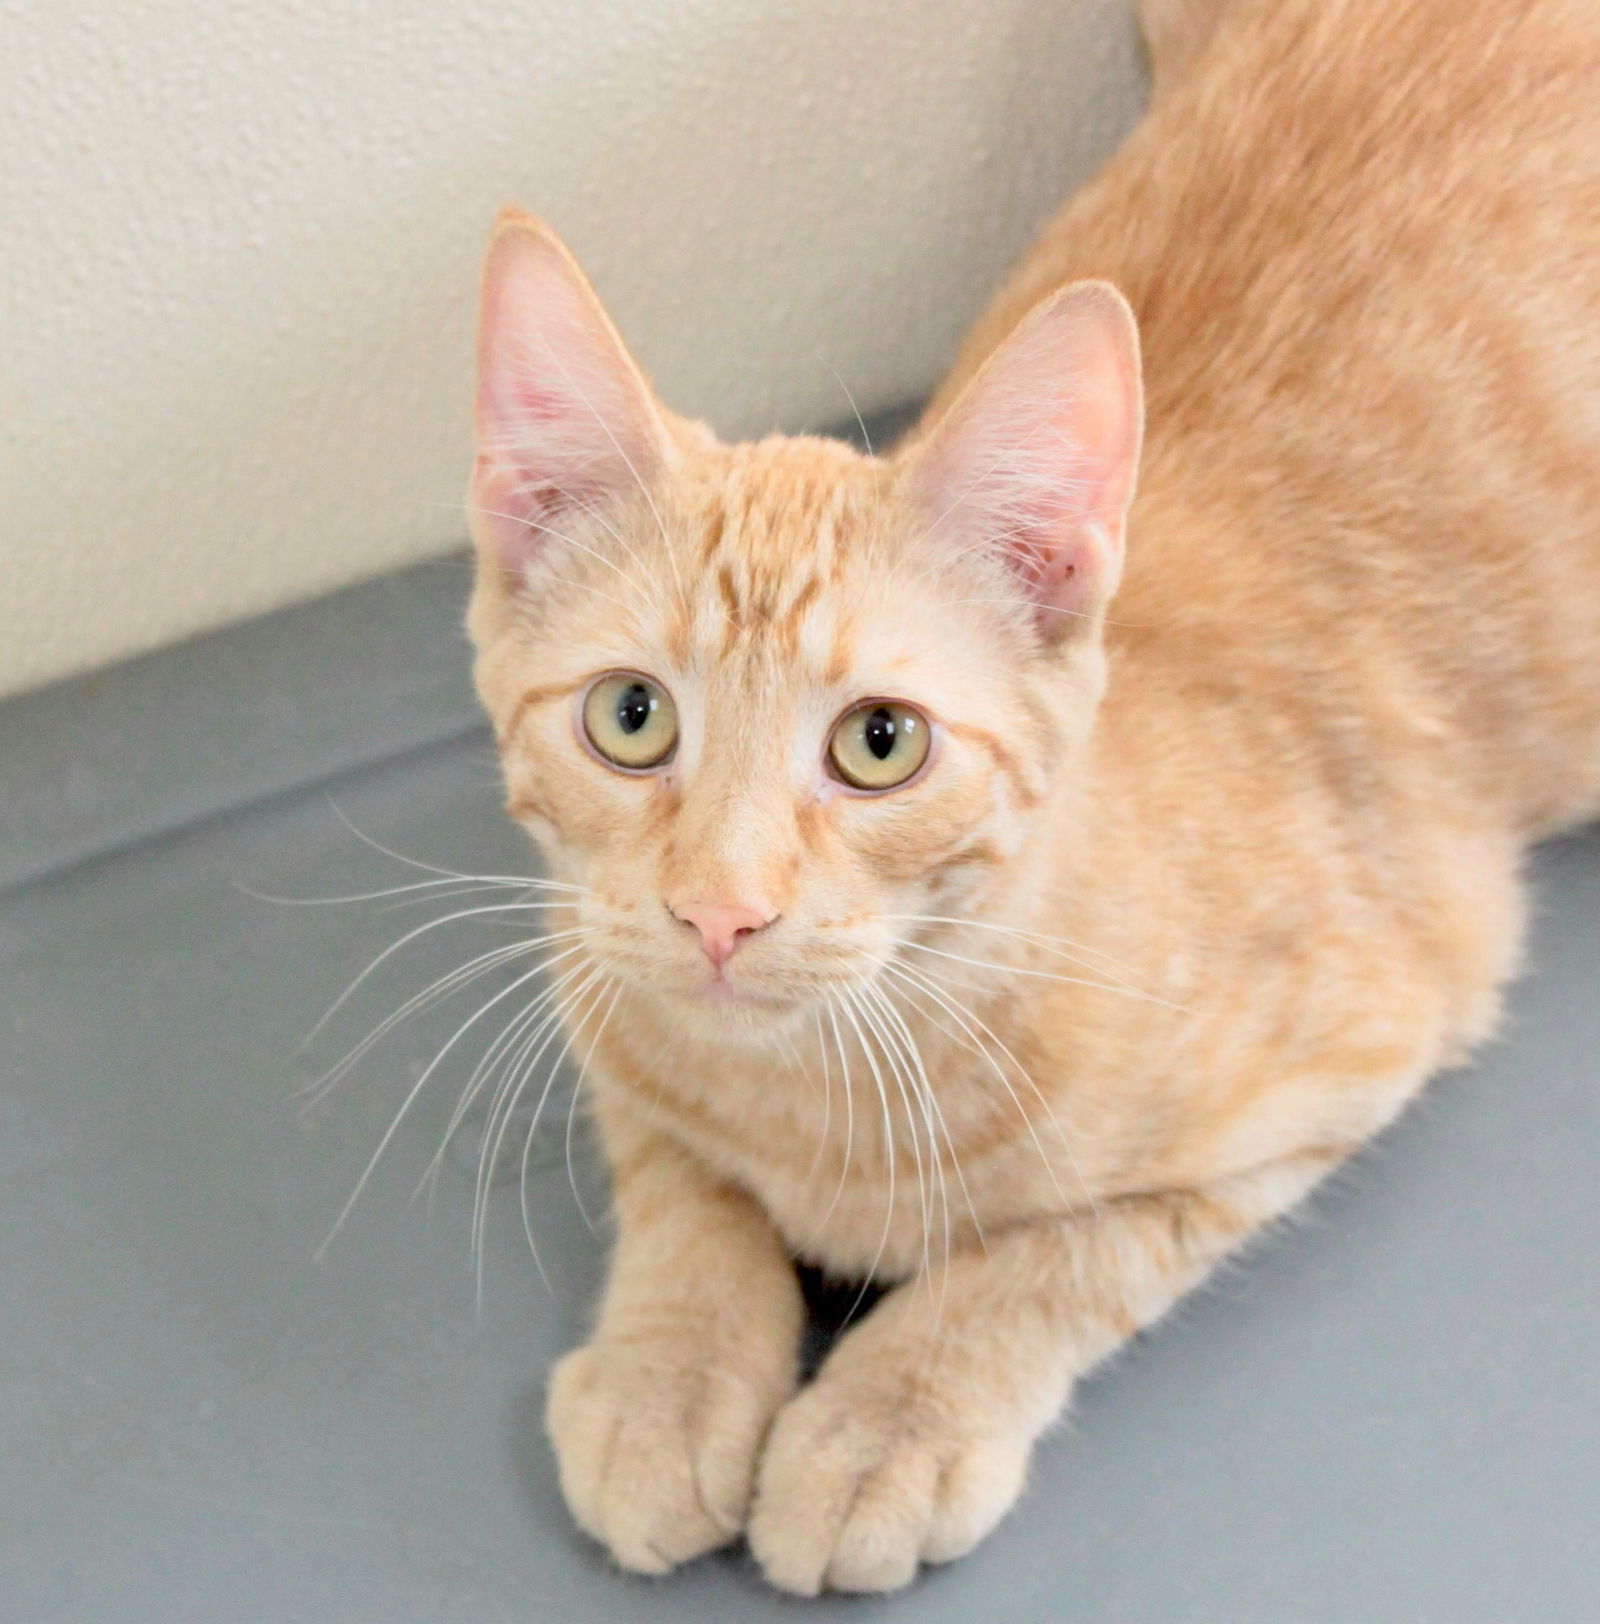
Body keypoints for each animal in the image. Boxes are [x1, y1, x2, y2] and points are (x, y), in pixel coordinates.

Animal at [458, 0, 1598, 1598]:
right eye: (633, 718)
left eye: (879, 743)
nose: (720, 917)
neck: (822, 1090)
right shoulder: (601, 996)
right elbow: (683, 1184)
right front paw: (667, 1372)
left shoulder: (1370, 1030)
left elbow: (1056, 1255)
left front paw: (887, 1418)